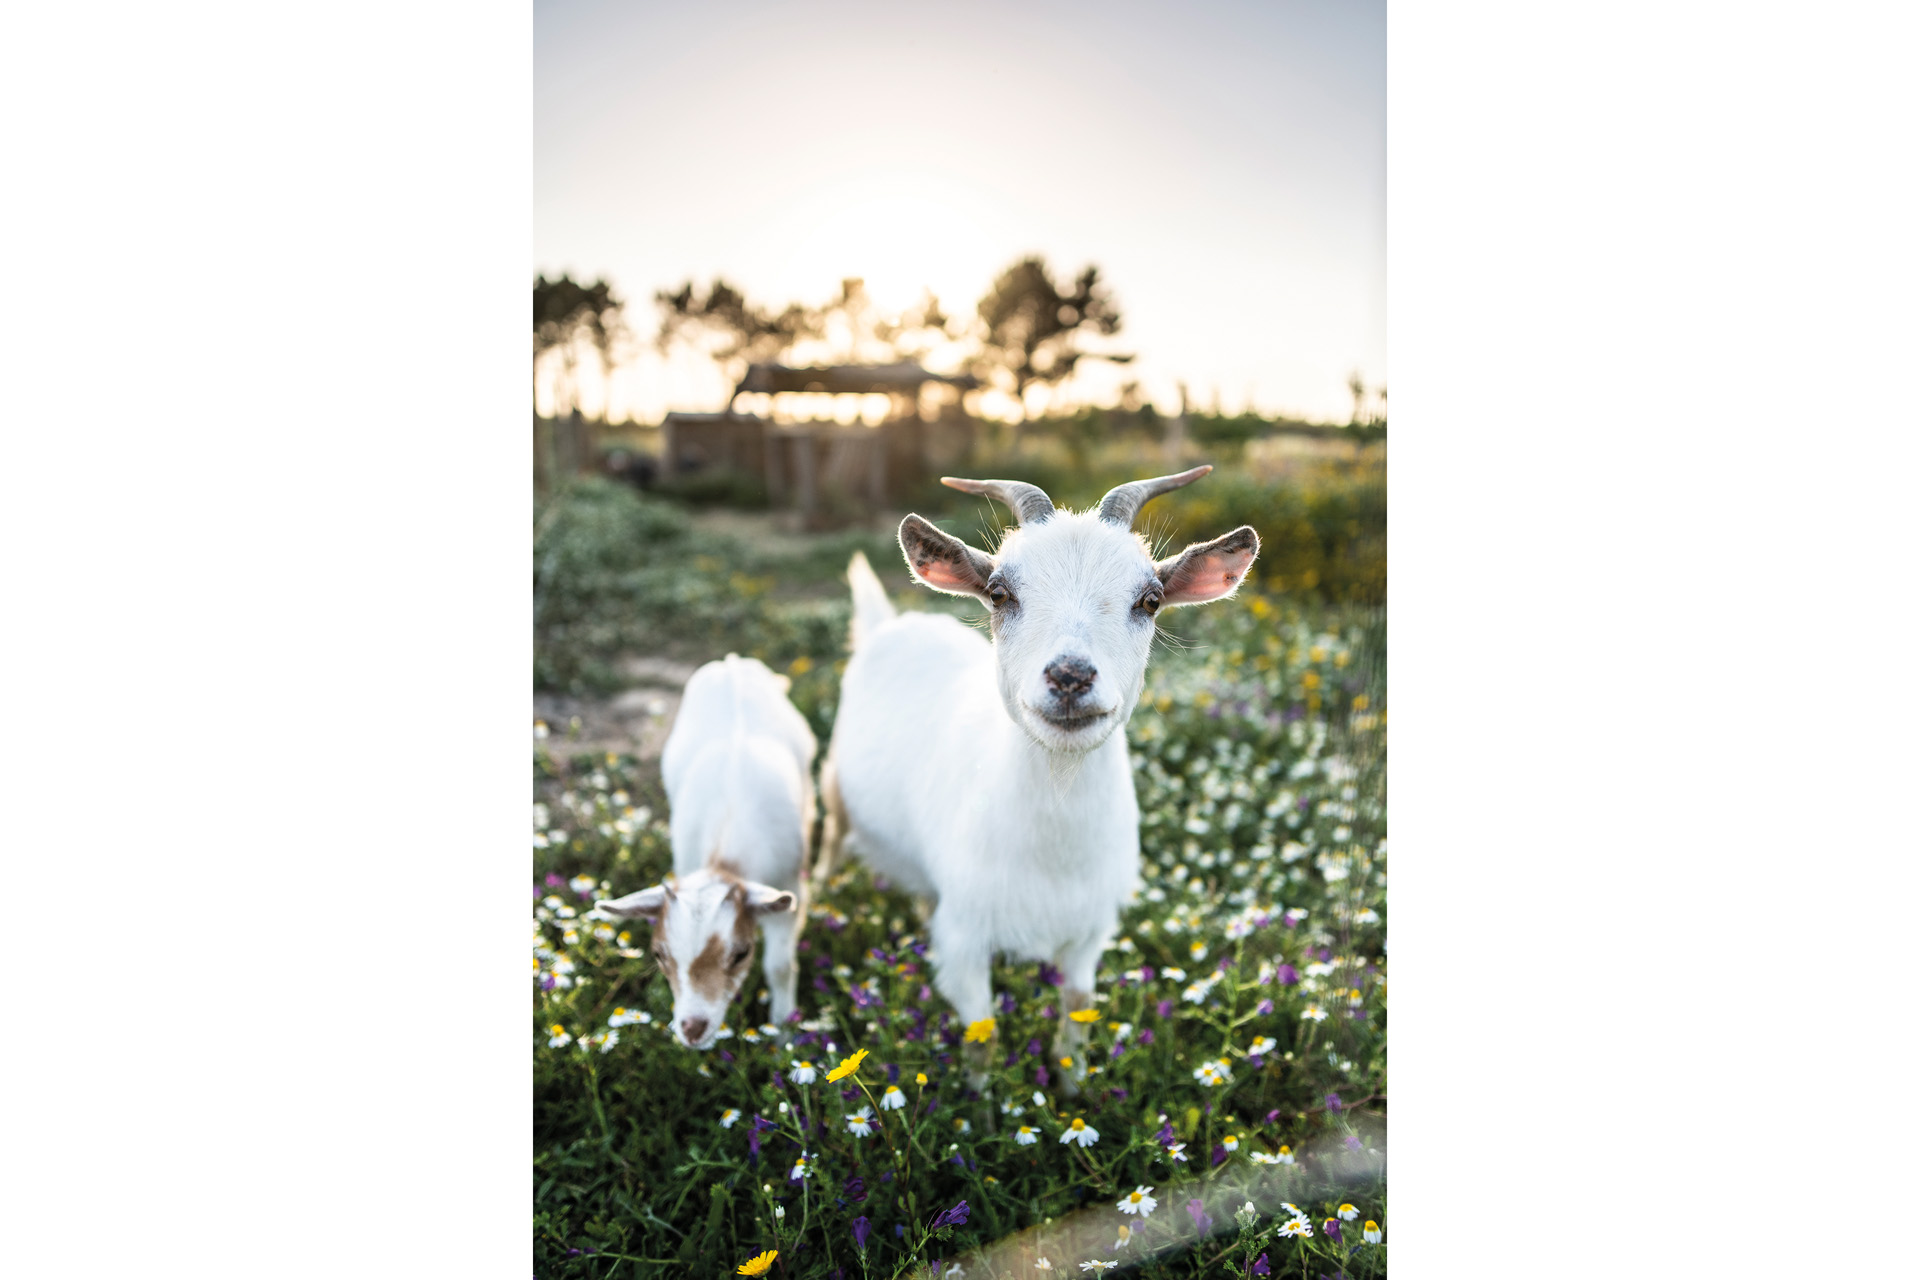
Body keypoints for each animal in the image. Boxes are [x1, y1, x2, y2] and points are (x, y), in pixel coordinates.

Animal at [595, 656, 814, 1043]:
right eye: (658, 953)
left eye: (741, 953)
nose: (692, 1029)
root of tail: (732, 661)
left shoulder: (791, 886)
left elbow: (779, 965)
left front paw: (785, 1032)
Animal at [821, 466, 1259, 1097]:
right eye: (1000, 593)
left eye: (1150, 600)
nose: (1070, 676)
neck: (1054, 853)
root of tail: (893, 624)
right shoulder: (964, 940)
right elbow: (982, 1036)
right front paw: (981, 1105)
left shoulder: (1090, 933)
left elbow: (1077, 1010)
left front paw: (1074, 1094)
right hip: (833, 798)